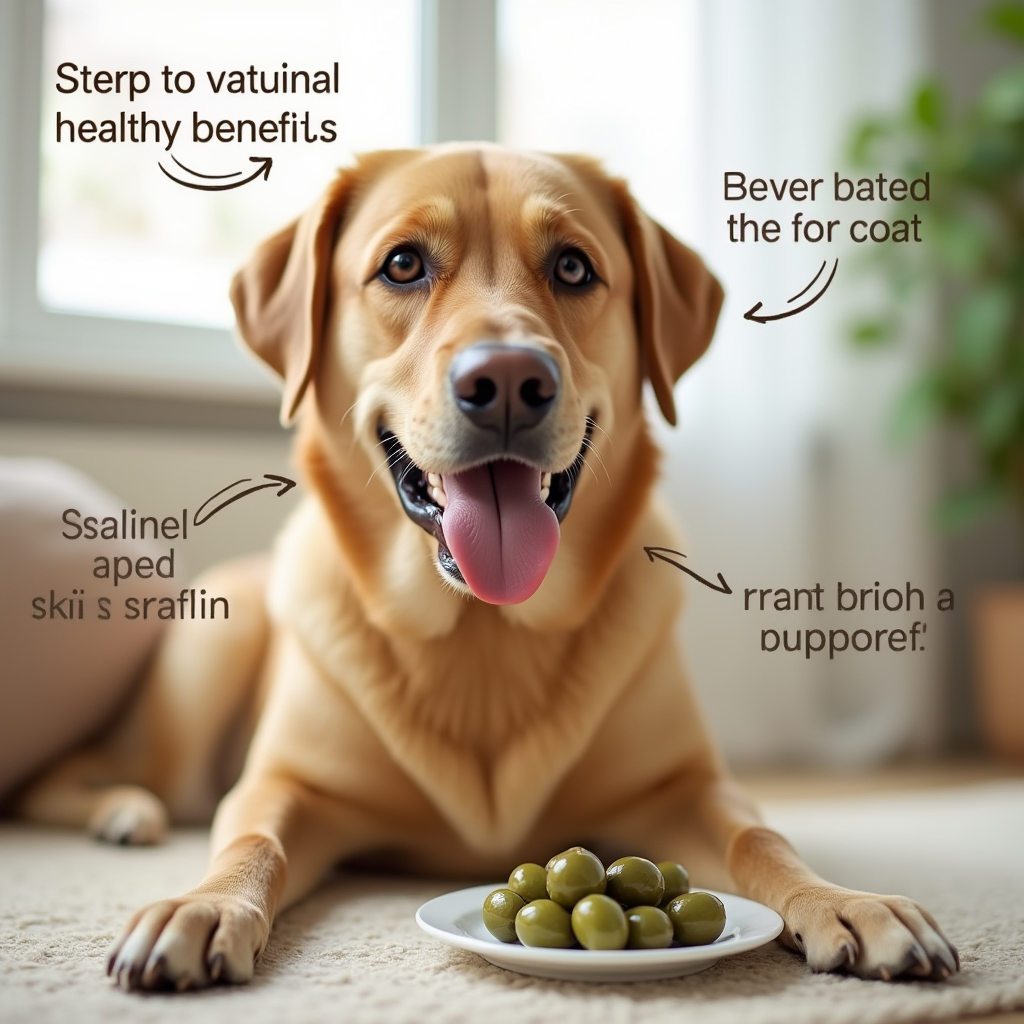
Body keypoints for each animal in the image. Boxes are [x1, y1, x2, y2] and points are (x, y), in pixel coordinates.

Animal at [14, 140, 958, 987]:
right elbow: (250, 838)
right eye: (401, 264)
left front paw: (843, 901)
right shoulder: (287, 786)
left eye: (574, 267)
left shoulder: (685, 787)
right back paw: (125, 812)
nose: (506, 381)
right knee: (72, 779)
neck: (485, 630)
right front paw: (202, 904)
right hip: (207, 665)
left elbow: (760, 835)